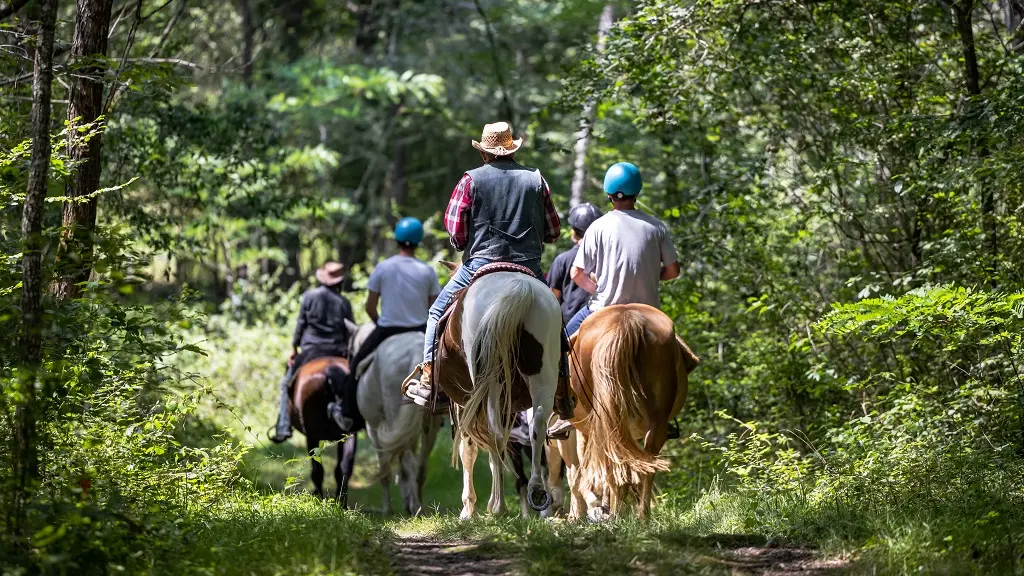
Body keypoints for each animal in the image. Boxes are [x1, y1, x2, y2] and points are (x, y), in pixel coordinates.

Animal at [290, 354, 358, 502]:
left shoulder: (312, 437)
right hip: (349, 435)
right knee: (344, 469)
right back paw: (341, 503)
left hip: (313, 435)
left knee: (318, 471)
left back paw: (319, 499)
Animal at [350, 319, 442, 512]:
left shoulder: (374, 429)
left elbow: (385, 468)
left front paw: (388, 509)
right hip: (430, 425)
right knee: (420, 466)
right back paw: (418, 503)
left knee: (408, 463)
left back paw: (414, 507)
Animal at [444, 266, 565, 518]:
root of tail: (520, 287)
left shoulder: (463, 404)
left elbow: (468, 450)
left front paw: (469, 508)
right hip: (542, 371)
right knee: (538, 423)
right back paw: (538, 493)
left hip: (490, 381)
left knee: (495, 433)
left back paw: (499, 506)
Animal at [565, 303, 700, 518]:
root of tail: (626, 319)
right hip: (655, 424)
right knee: (645, 467)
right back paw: (641, 516)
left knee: (614, 467)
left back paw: (617, 514)